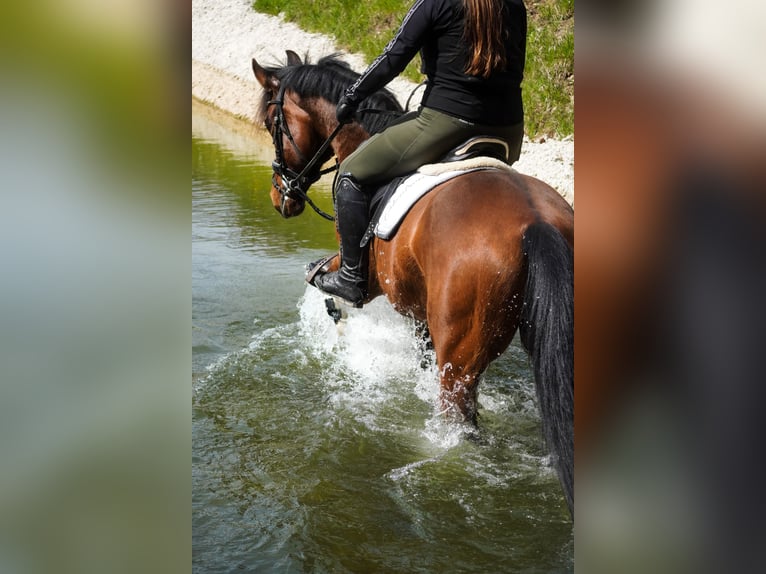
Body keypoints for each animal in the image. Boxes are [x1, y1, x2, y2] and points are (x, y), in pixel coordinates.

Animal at [251, 51, 574, 517]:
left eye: (269, 124)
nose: (280, 198)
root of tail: (535, 222)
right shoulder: (421, 309)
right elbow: (419, 353)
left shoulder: (365, 276)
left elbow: (324, 284)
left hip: (460, 359)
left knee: (460, 425)